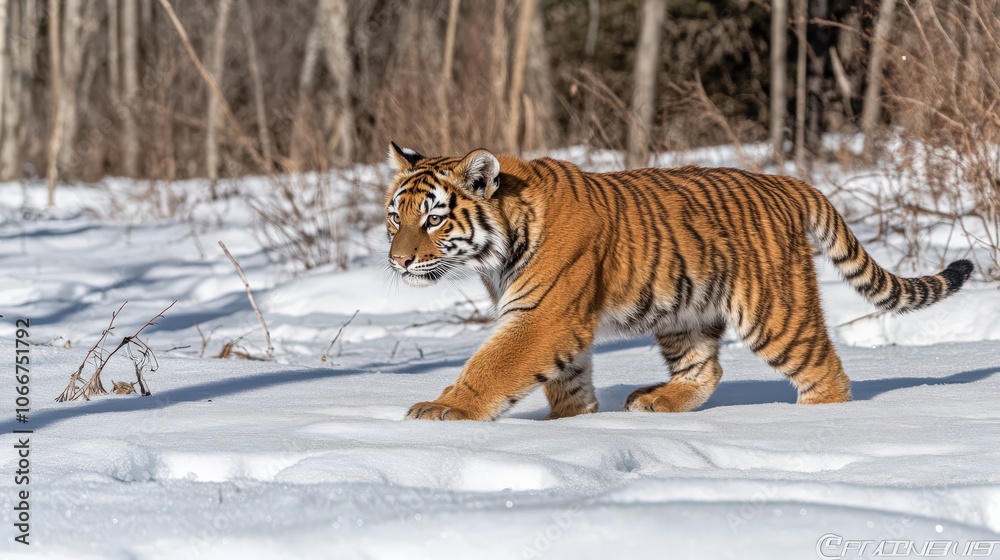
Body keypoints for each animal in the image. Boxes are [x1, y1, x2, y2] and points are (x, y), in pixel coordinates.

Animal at [383, 142, 974, 421]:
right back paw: (658, 401)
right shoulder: (558, 319)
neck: (498, 250)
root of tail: (785, 180)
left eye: (433, 220)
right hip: (682, 310)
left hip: (772, 311)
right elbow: (567, 378)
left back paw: (810, 425)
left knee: (825, 369)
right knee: (705, 369)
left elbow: (493, 366)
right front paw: (576, 421)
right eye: (396, 217)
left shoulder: (543, 314)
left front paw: (446, 409)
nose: (399, 262)